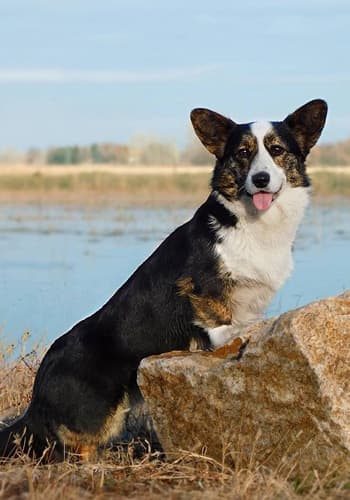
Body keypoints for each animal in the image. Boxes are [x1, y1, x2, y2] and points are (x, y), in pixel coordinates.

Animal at [0, 98, 328, 460]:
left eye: (277, 149)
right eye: (243, 153)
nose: (260, 179)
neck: (256, 224)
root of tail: (36, 396)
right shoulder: (202, 285)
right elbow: (218, 318)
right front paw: (234, 334)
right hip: (99, 412)